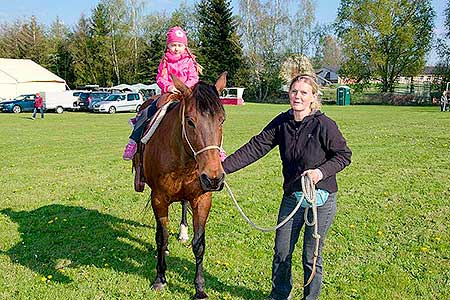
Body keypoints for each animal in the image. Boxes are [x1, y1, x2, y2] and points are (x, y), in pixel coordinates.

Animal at [136, 72, 227, 298]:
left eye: (222, 119)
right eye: (190, 121)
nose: (214, 178)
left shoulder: (203, 199)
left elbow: (199, 244)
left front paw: (200, 288)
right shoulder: (158, 199)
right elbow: (162, 237)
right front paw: (160, 278)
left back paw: (183, 231)